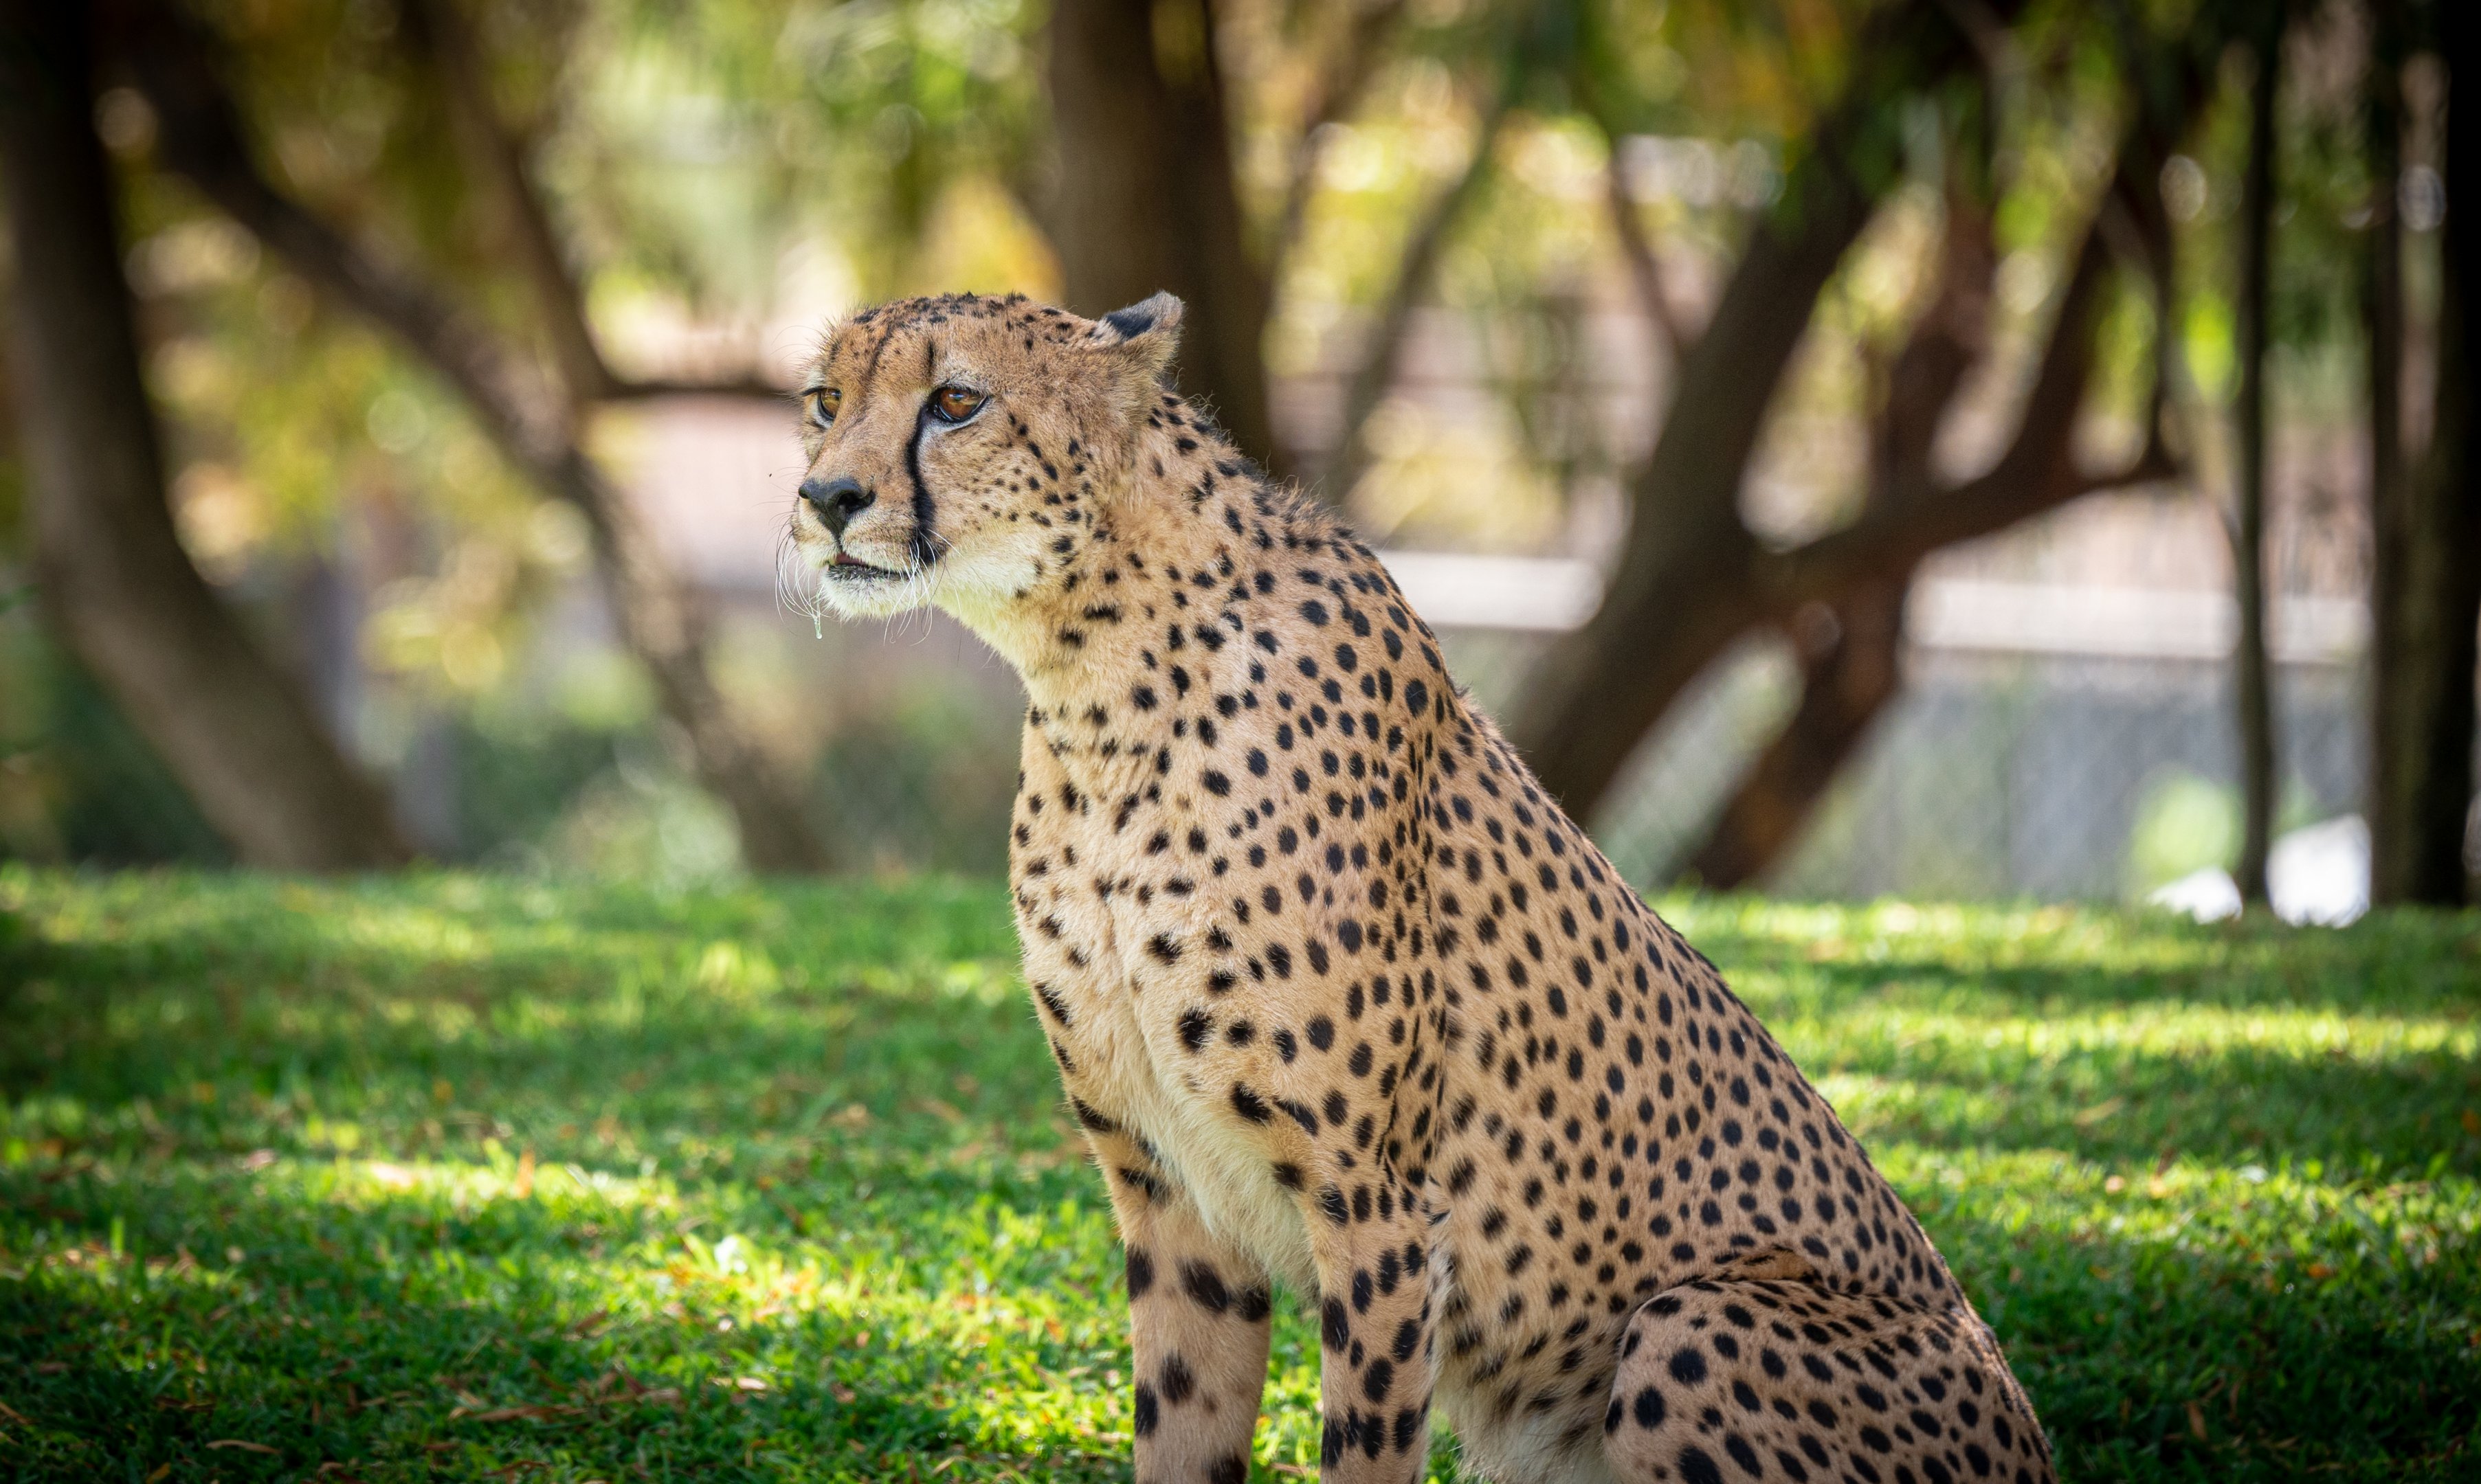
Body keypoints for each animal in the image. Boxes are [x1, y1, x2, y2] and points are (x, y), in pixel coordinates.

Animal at [784, 289, 2055, 1484]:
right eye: (824, 400)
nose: (826, 497)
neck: (1094, 683)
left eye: (957, 402)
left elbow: (1364, 1450)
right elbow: (1179, 1440)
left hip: (1688, 1323)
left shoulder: (1379, 1206)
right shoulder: (1174, 1198)